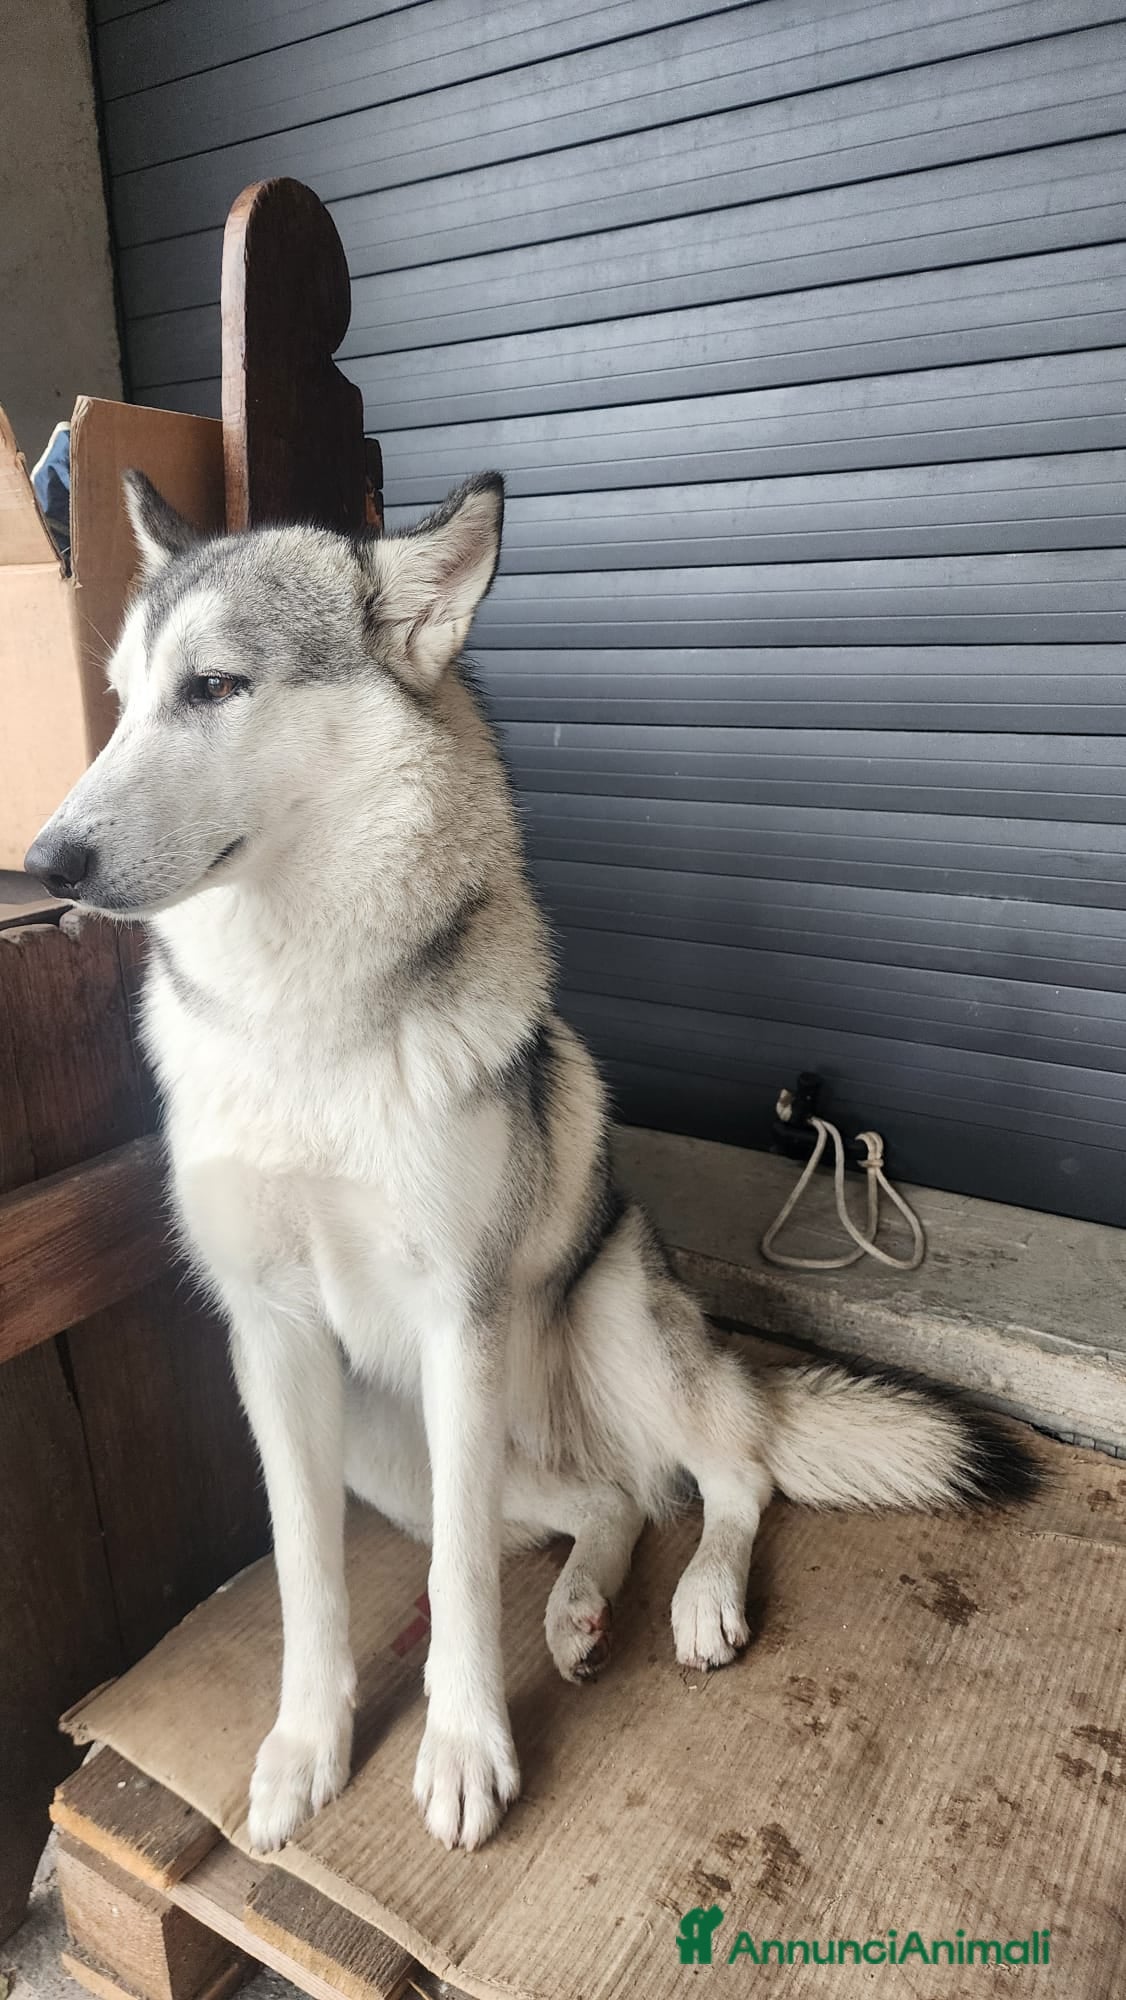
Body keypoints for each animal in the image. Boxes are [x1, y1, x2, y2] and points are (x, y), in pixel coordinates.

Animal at [26, 469, 1037, 1854]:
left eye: (216, 686)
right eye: (122, 699)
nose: (43, 862)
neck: (305, 1025)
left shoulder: (460, 1317)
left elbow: (455, 1577)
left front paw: (462, 1750)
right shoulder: (272, 1339)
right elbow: (306, 1575)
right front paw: (306, 1741)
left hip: (605, 1319)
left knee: (730, 1472)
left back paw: (700, 1597)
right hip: (391, 1443)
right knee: (609, 1501)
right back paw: (575, 1608)